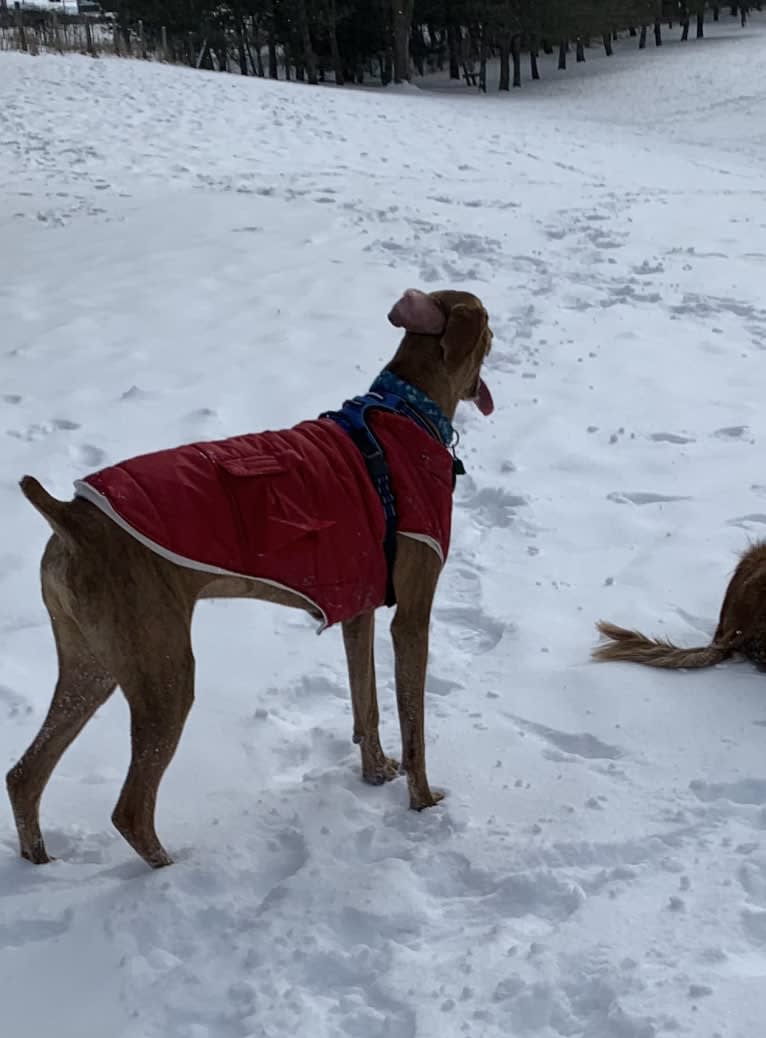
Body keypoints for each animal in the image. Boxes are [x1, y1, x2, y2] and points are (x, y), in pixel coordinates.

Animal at [5, 288, 491, 871]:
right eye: (490, 329)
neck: (407, 409)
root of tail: (69, 516)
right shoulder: (412, 619)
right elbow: (413, 724)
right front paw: (421, 803)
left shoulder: (359, 610)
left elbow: (366, 705)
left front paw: (375, 774)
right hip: (165, 672)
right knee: (130, 810)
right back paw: (171, 870)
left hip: (92, 665)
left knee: (23, 775)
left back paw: (39, 861)